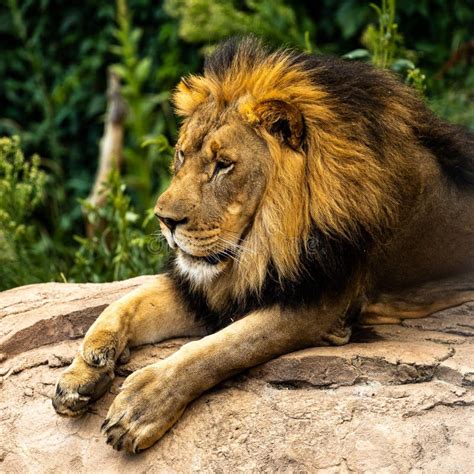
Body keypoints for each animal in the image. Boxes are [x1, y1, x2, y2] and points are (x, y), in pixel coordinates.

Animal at [51, 36, 474, 452]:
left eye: (223, 165)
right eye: (181, 155)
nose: (164, 220)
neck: (263, 242)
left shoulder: (317, 304)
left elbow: (219, 349)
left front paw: (141, 407)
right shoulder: (210, 291)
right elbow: (123, 304)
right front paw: (84, 370)